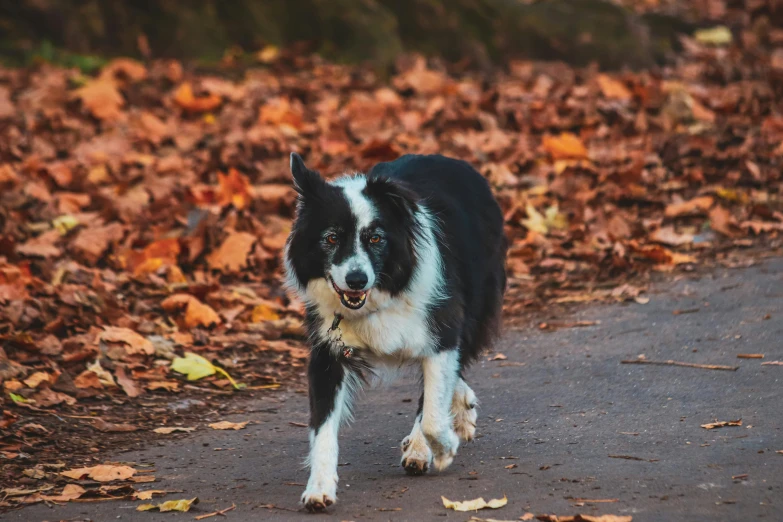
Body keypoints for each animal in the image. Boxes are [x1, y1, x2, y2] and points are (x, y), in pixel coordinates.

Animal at [282, 152, 508, 510]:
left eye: (376, 238)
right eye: (331, 238)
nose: (356, 280)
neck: (380, 294)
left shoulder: (441, 330)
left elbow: (432, 416)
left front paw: (443, 449)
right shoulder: (328, 349)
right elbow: (323, 428)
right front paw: (319, 488)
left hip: (477, 299)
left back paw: (424, 444)